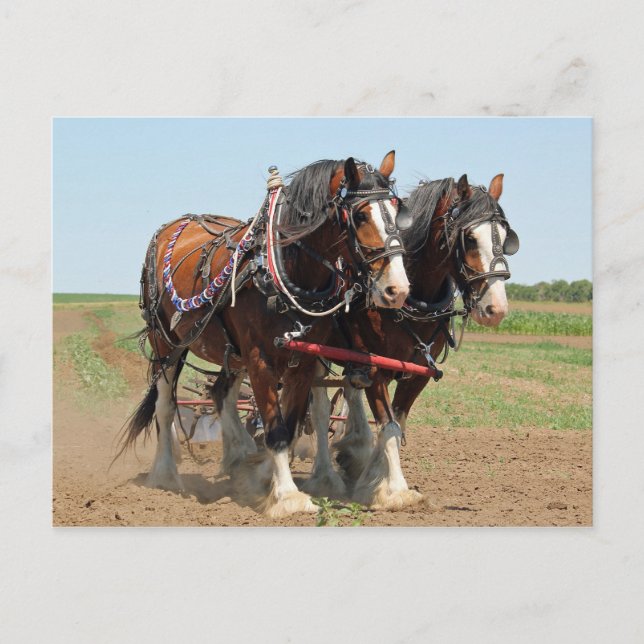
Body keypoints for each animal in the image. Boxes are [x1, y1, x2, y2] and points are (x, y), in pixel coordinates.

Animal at [118, 152, 411, 517]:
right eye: (359, 215)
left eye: (397, 210)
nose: (397, 289)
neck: (285, 270)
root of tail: (174, 225)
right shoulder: (259, 358)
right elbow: (275, 428)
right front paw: (287, 497)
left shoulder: (303, 360)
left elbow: (291, 422)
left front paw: (267, 480)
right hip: (167, 343)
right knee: (166, 405)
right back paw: (166, 475)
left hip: (230, 351)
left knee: (221, 393)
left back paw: (239, 458)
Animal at [306, 173, 519, 509]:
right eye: (470, 238)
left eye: (504, 235)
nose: (496, 309)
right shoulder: (376, 369)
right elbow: (389, 426)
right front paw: (396, 489)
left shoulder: (417, 373)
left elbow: (397, 423)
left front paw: (372, 476)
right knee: (320, 409)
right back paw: (325, 477)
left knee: (350, 394)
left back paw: (354, 452)